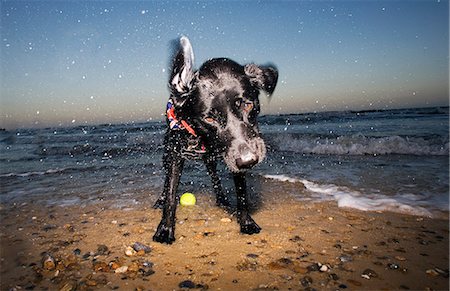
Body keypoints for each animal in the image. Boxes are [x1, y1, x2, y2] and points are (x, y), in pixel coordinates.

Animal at [152, 37, 278, 245]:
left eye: (247, 105)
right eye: (209, 119)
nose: (248, 161)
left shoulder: (234, 156)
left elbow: (241, 192)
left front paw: (246, 222)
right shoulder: (176, 154)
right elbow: (171, 193)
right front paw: (165, 229)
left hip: (211, 159)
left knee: (214, 176)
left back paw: (221, 198)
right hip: (166, 154)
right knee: (166, 180)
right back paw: (160, 199)